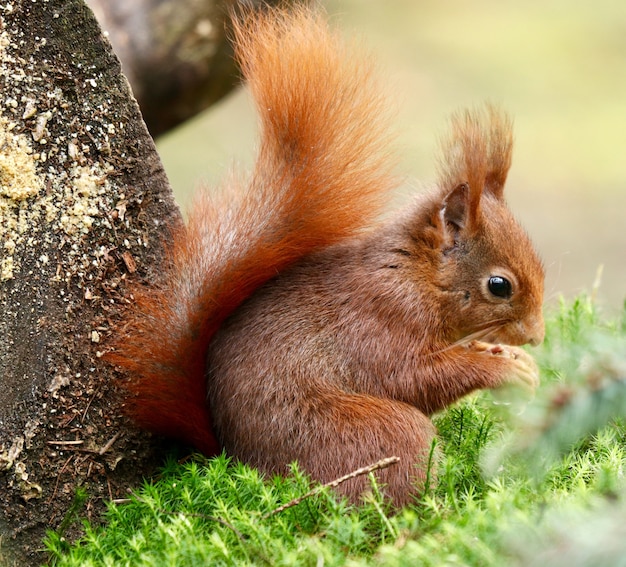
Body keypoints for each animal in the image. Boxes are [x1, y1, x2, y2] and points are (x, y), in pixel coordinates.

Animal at [109, 6, 544, 508]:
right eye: (499, 285)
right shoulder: (380, 322)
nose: (537, 336)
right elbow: (413, 378)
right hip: (374, 434)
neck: (415, 275)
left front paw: (509, 356)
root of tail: (237, 458)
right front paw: (502, 367)